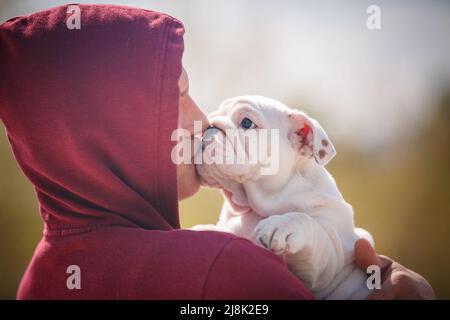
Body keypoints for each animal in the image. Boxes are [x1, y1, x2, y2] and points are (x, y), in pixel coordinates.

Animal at [195, 95, 374, 300]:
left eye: (247, 123)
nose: (208, 126)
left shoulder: (332, 260)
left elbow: (307, 221)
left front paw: (282, 226)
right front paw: (202, 229)